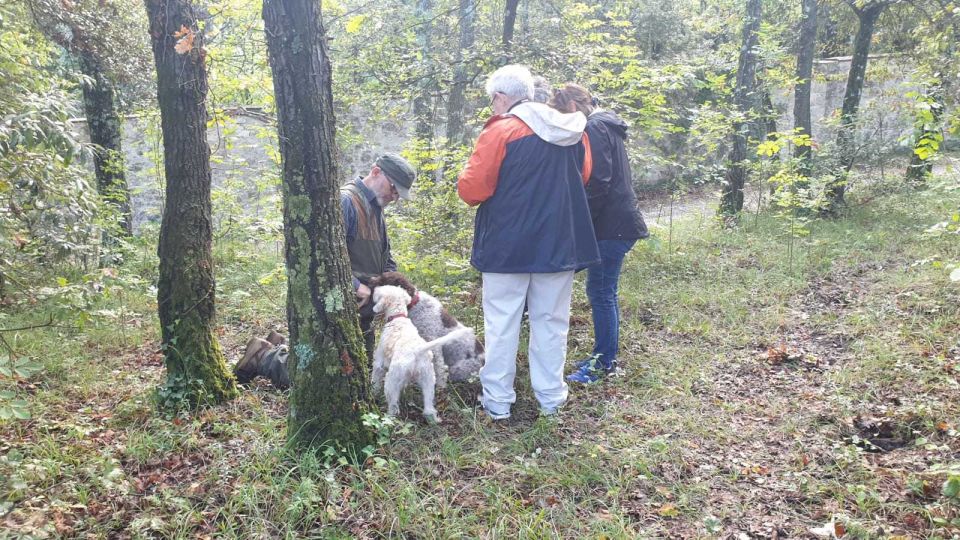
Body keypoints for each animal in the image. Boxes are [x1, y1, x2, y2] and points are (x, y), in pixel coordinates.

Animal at [372, 282, 472, 422]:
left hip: (392, 381)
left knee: (393, 406)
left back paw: (389, 417)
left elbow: (375, 377)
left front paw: (373, 391)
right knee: (429, 409)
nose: (374, 289)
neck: (398, 318)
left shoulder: (379, 362)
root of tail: (417, 351)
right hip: (428, 381)